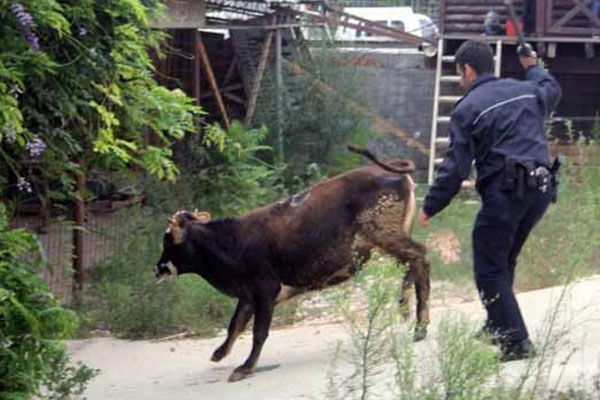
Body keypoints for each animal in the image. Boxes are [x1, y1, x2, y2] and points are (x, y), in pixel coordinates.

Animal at [154, 146, 426, 382]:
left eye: (168, 240)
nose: (157, 268)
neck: (231, 241)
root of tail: (387, 170)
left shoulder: (265, 290)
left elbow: (258, 332)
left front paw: (246, 367)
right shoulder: (249, 295)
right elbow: (235, 325)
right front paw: (220, 352)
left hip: (385, 235)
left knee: (420, 258)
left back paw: (410, 313)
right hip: (389, 238)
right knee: (416, 266)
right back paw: (415, 321)